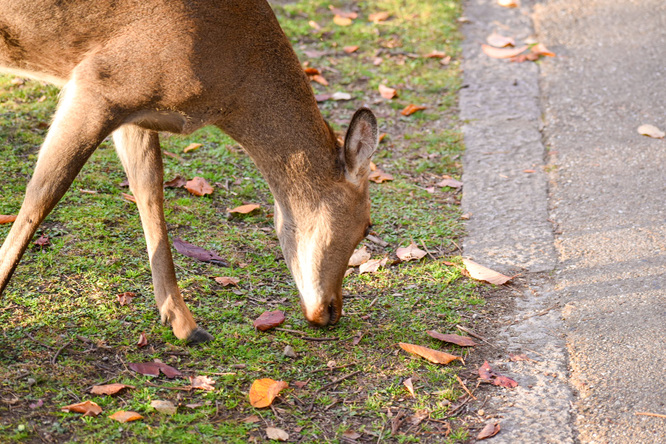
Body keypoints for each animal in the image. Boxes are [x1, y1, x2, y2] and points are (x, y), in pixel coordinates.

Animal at [0, 0, 376, 344]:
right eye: (367, 226)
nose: (331, 311)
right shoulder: (102, 83)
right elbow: (43, 193)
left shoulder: (136, 108)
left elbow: (149, 189)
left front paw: (185, 324)